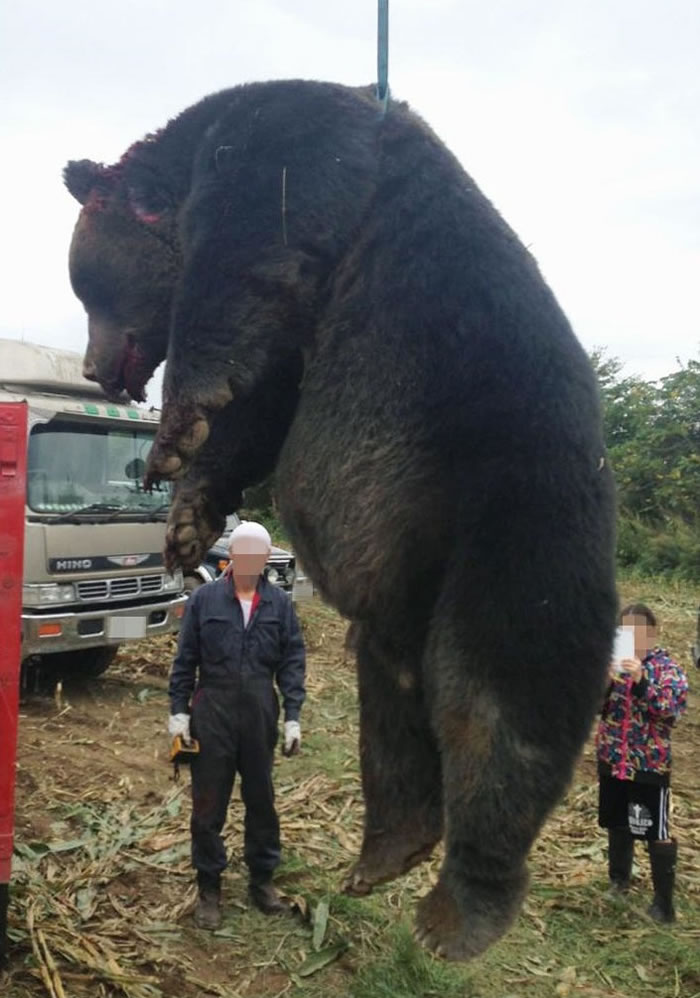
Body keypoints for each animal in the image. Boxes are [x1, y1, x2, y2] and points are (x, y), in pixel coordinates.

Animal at [65, 79, 617, 960]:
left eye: (88, 286)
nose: (95, 370)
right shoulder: (300, 339)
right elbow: (258, 408)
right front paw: (186, 521)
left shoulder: (294, 158)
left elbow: (246, 264)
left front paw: (174, 429)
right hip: (404, 599)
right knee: (394, 710)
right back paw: (387, 850)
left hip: (515, 524)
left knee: (496, 708)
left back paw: (458, 911)